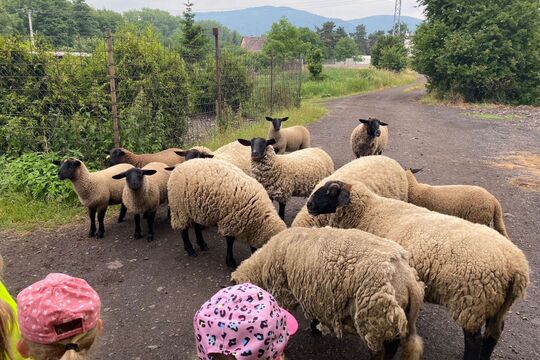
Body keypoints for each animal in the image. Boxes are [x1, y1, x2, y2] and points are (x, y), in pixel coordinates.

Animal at [230, 228, 424, 360]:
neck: (262, 265)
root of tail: (409, 281)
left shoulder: (283, 294)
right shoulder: (316, 294)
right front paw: (315, 327)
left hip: (376, 320)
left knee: (382, 350)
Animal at [306, 181, 528, 358]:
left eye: (330, 191)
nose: (309, 205)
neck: (368, 210)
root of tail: (516, 267)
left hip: (472, 304)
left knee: (474, 342)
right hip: (498, 305)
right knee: (493, 335)